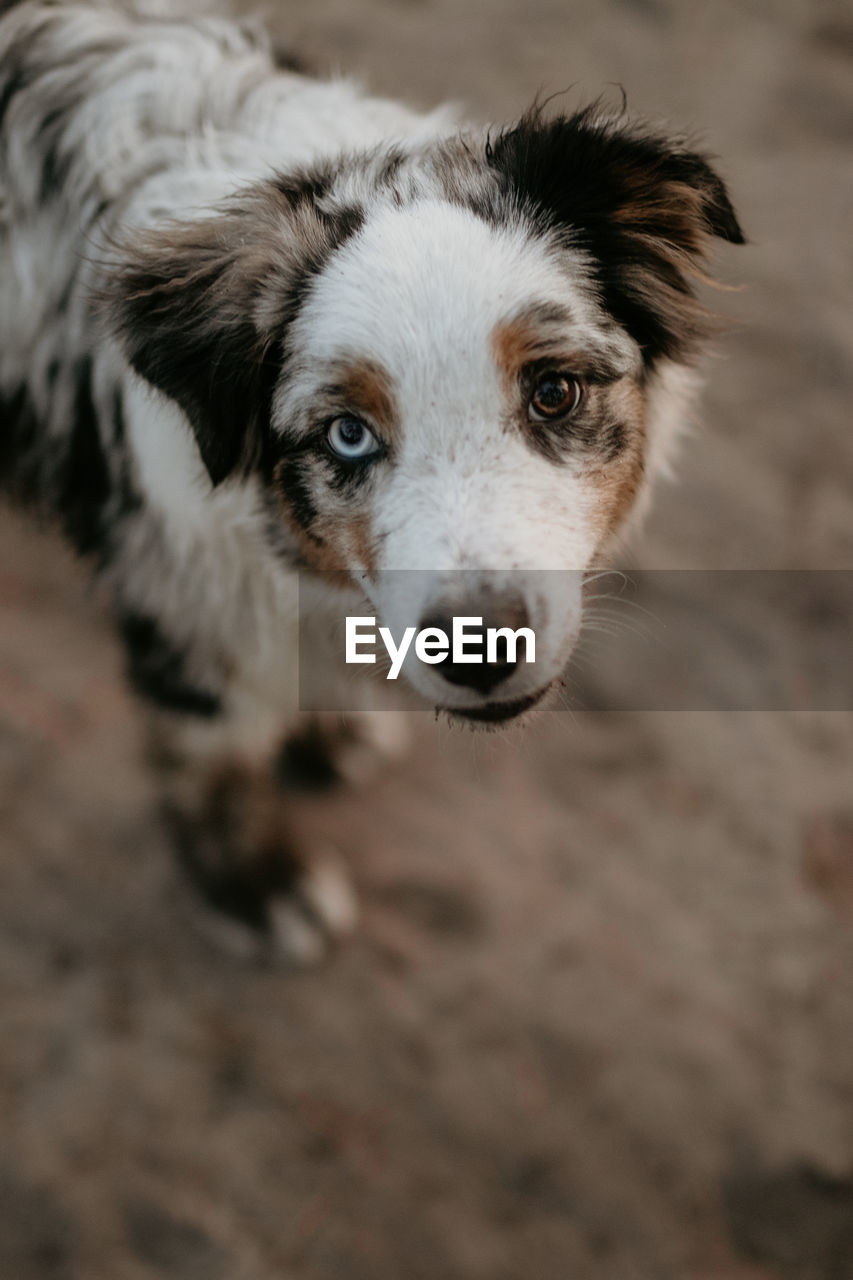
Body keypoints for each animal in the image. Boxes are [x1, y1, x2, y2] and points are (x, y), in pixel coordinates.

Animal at [0, 0, 742, 962]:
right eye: (347, 434)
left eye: (553, 391)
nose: (479, 646)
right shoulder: (182, 592)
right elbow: (209, 754)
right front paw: (255, 885)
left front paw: (325, 730)